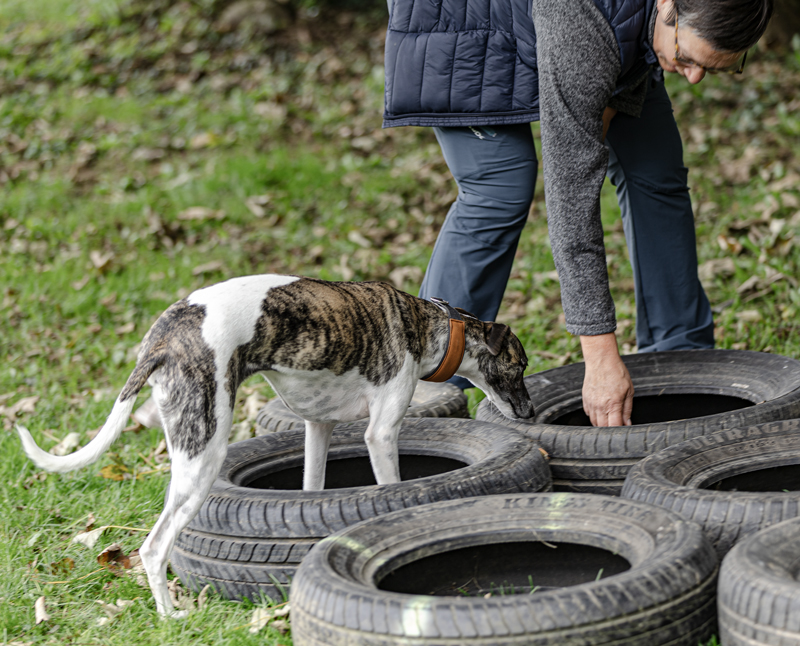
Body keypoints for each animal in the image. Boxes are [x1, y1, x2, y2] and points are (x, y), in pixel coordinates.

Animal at [17, 274, 534, 617]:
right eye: (521, 365)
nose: (530, 415)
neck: (431, 323)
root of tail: (164, 336)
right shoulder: (381, 434)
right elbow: (392, 488)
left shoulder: (317, 428)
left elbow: (311, 491)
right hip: (204, 456)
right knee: (154, 547)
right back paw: (172, 616)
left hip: (187, 450)